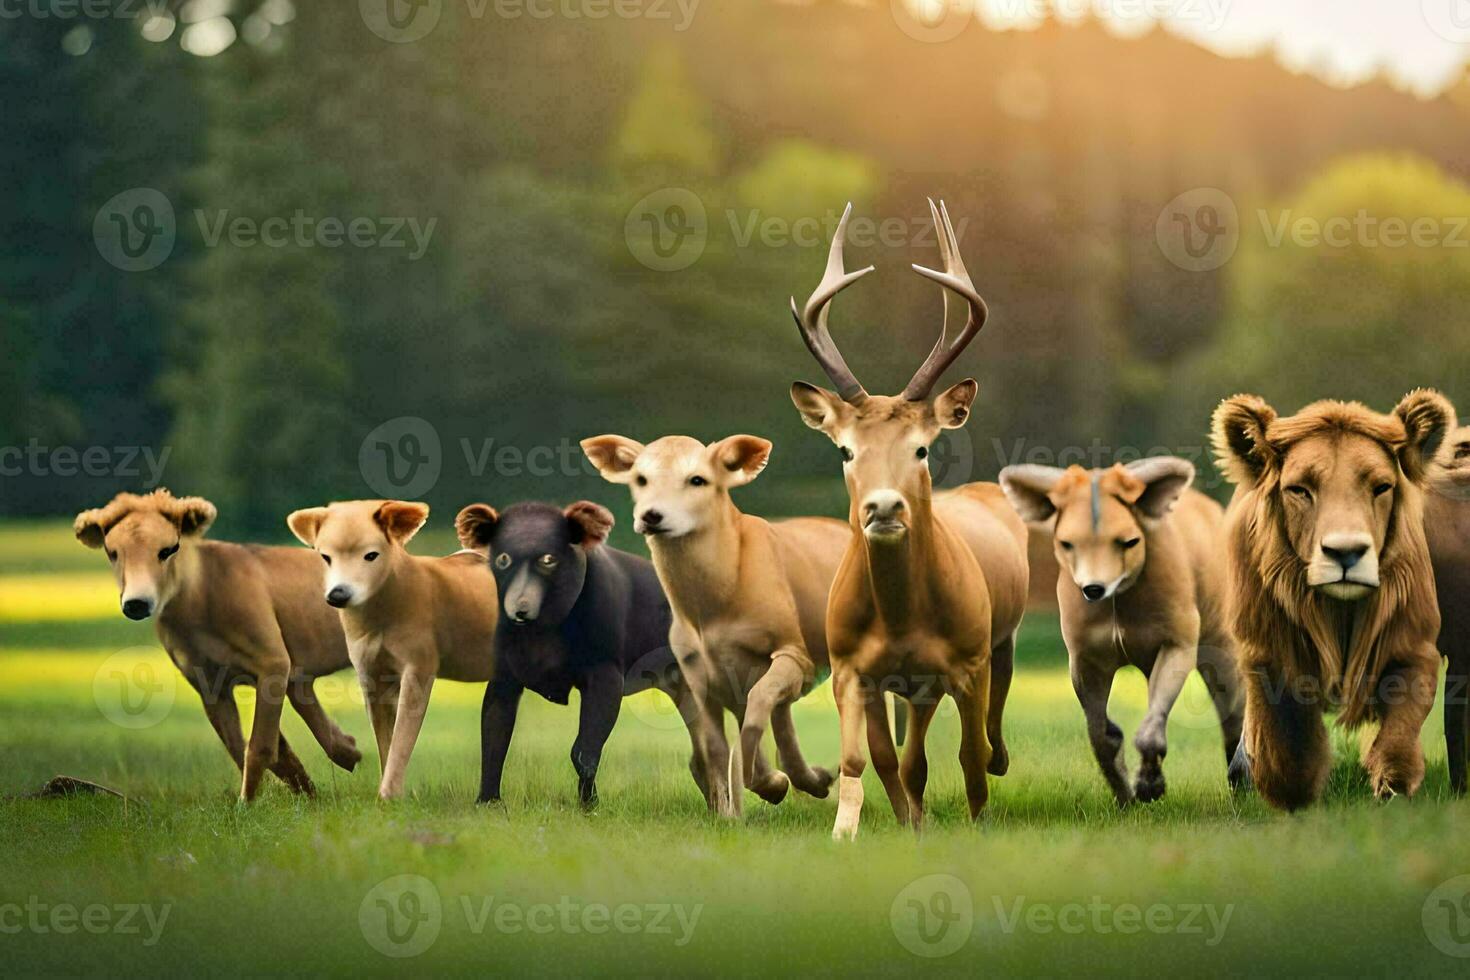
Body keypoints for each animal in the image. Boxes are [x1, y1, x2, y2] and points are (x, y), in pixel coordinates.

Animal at [787, 202, 1029, 840]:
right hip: (911, 685)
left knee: (988, 732)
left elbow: (966, 756)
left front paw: (976, 823)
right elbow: (868, 757)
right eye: (846, 450)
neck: (900, 620)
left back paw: (996, 763)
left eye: (921, 448)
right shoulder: (851, 667)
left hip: (998, 642)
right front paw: (862, 828)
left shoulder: (967, 662)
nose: (884, 507)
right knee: (906, 751)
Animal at [1211, 390, 1452, 811]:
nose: (1346, 552)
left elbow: (1402, 723)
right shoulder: (1269, 655)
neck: (1337, 611)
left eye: (1381, 487)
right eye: (1300, 489)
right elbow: (1283, 738)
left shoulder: (1413, 646)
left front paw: (1394, 784)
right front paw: (1290, 792)